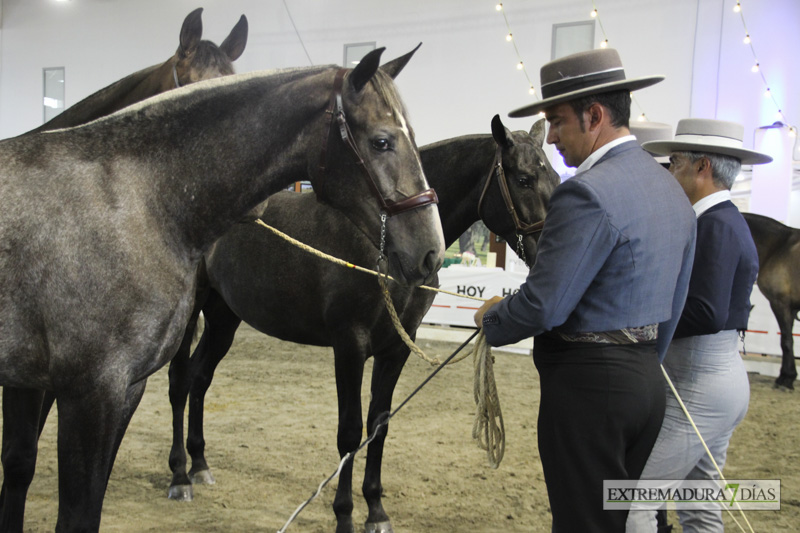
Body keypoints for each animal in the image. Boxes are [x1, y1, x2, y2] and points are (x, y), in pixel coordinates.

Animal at [167, 116, 556, 532]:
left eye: (553, 177)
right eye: (524, 179)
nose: (549, 248)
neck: (385, 243)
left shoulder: (397, 348)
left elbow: (379, 426)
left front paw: (376, 511)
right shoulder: (350, 345)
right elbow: (351, 432)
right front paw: (344, 515)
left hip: (224, 316)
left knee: (200, 378)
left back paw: (200, 464)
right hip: (191, 314)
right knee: (180, 380)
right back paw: (179, 476)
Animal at [744, 212, 800, 390]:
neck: (777, 247)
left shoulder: (779, 303)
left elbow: (786, 341)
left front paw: (786, 379)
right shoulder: (791, 308)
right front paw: (787, 376)